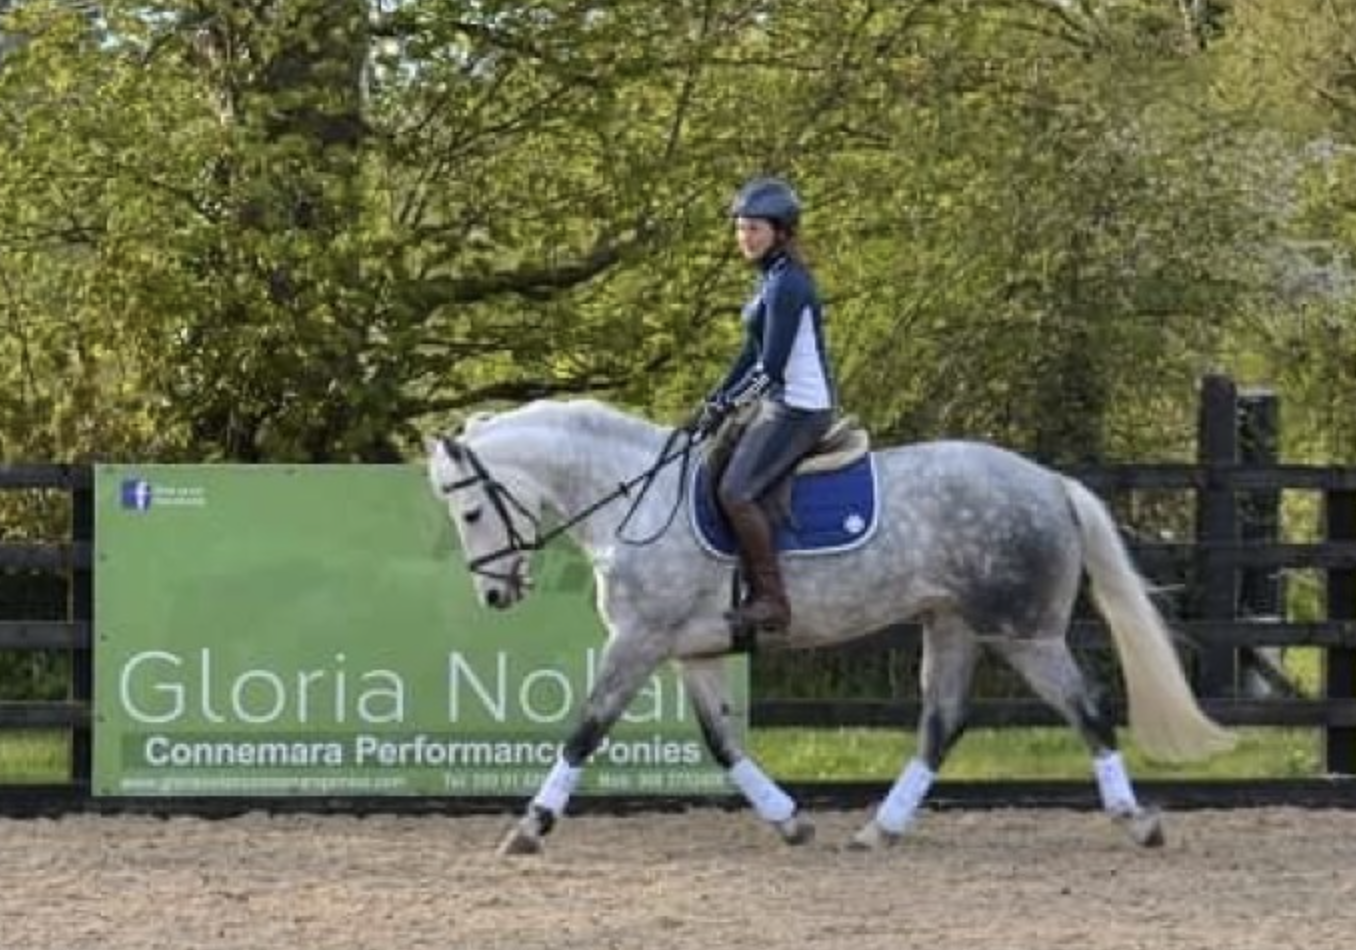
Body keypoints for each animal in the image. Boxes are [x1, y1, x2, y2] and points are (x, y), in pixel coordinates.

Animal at [424, 398, 1235, 855]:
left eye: (471, 510)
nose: (495, 593)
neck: (634, 500)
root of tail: (1050, 484)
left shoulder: (639, 641)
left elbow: (585, 730)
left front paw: (530, 827)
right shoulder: (692, 651)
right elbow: (723, 744)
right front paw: (790, 821)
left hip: (1022, 632)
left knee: (1087, 710)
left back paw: (1138, 822)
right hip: (952, 626)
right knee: (943, 722)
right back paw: (880, 829)